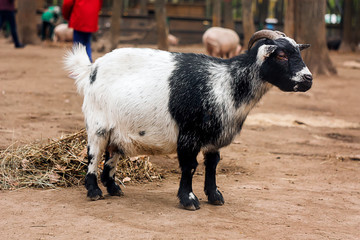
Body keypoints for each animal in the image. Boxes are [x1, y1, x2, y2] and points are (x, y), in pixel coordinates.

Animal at [64, 29, 312, 210]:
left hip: (118, 130)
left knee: (111, 155)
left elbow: (212, 164)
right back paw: (94, 191)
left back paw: (114, 189)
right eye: (281, 55)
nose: (308, 79)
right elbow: (190, 166)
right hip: (97, 124)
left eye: (298, 53)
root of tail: (91, 69)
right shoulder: (189, 134)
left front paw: (215, 196)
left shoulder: (213, 136)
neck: (226, 83)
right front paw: (189, 199)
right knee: (93, 155)